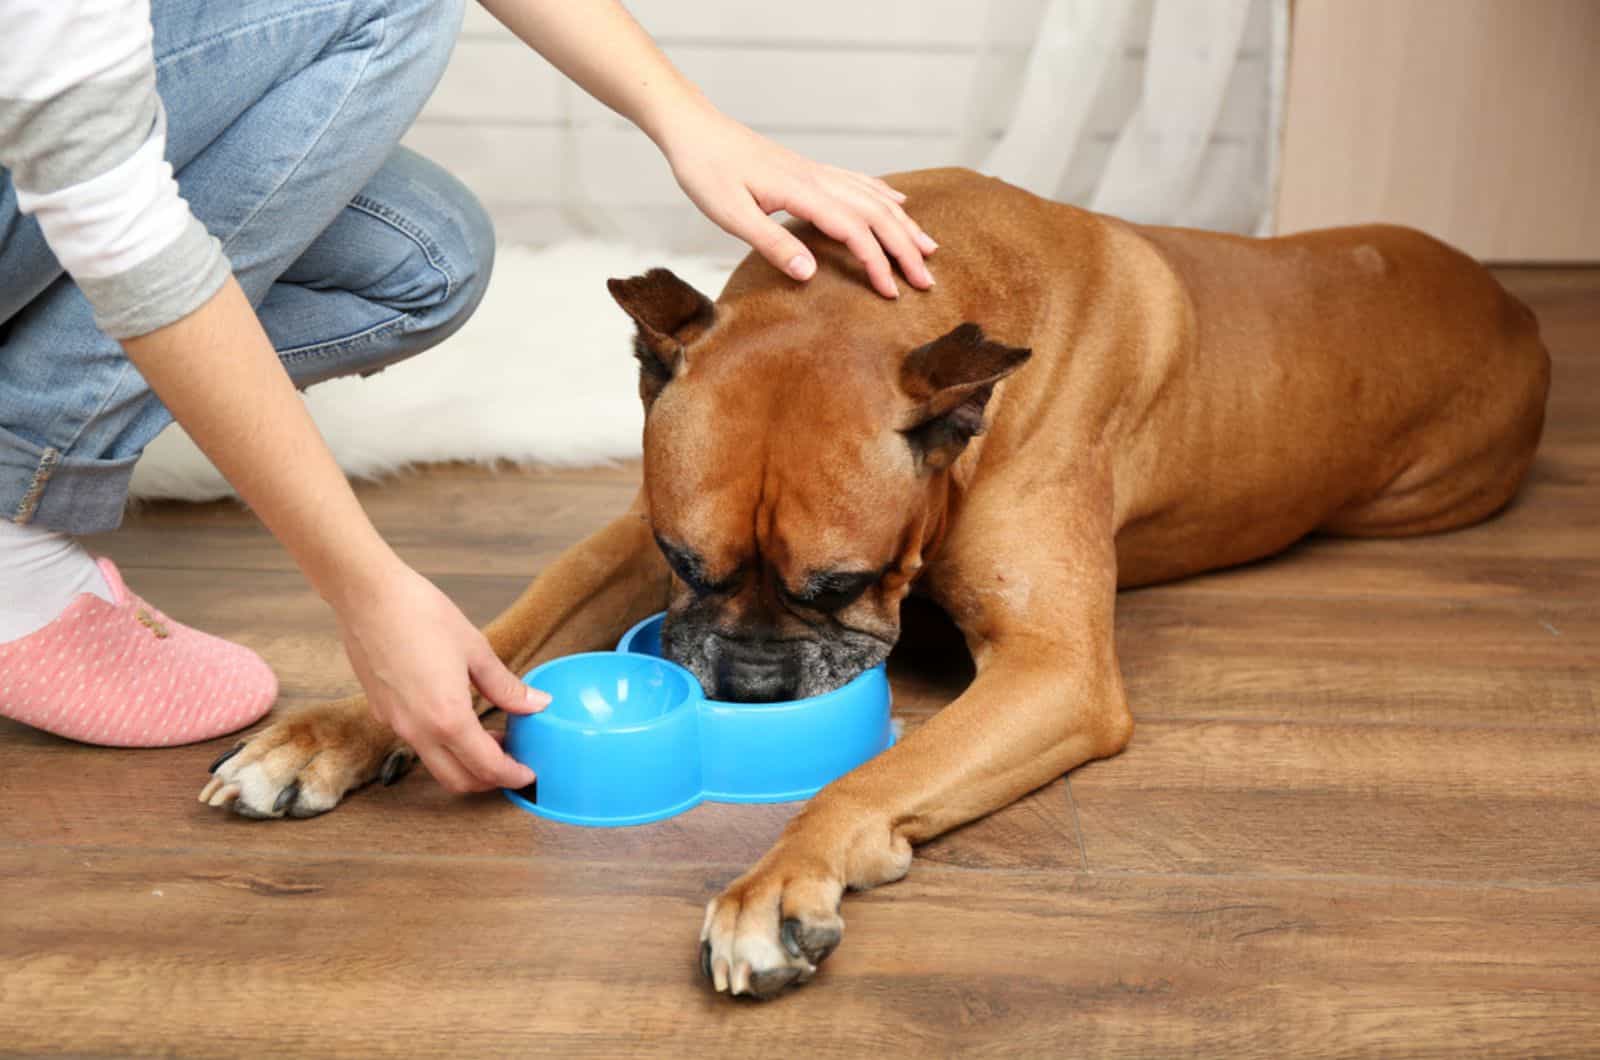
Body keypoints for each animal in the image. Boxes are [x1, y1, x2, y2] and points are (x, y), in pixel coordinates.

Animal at [193, 168, 1542, 1005]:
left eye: (841, 581)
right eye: (687, 565)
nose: (743, 683)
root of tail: (1514, 301)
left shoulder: (1058, 673)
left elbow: (865, 777)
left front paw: (777, 885)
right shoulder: (623, 548)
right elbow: (497, 626)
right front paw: (337, 731)